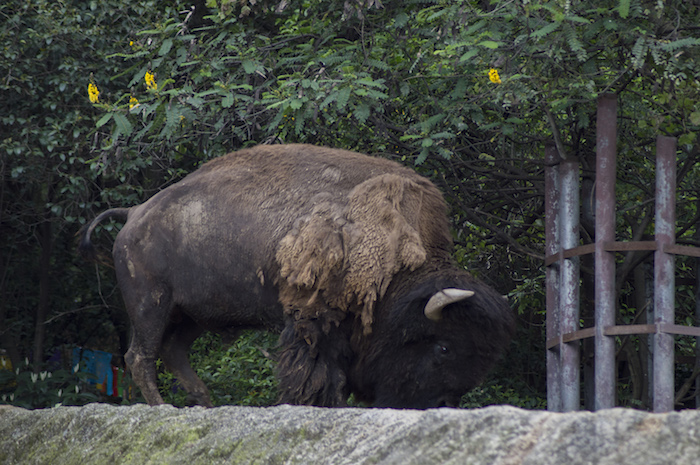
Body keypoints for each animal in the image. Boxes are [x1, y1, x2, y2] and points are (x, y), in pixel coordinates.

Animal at [80, 143, 516, 408]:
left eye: (483, 360)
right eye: (443, 347)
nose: (440, 406)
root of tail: (135, 213)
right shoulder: (313, 320)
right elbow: (317, 373)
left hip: (193, 315)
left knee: (172, 352)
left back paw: (207, 403)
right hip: (151, 305)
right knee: (140, 356)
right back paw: (165, 406)